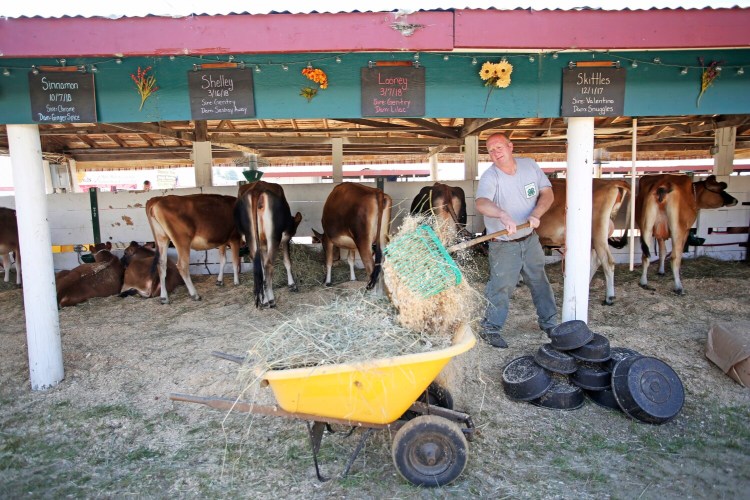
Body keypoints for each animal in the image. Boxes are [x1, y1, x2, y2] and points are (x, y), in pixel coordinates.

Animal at [536, 178, 632, 306]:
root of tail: (610, 182)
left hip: (598, 232)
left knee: (607, 261)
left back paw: (609, 297)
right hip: (594, 238)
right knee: (596, 261)